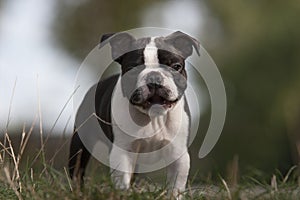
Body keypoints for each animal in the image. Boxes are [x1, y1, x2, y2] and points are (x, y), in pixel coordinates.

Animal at [68, 30, 199, 196]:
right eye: (132, 68)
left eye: (176, 66)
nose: (154, 76)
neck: (152, 118)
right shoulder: (122, 152)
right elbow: (122, 181)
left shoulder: (178, 155)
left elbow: (175, 187)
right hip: (80, 143)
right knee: (77, 170)